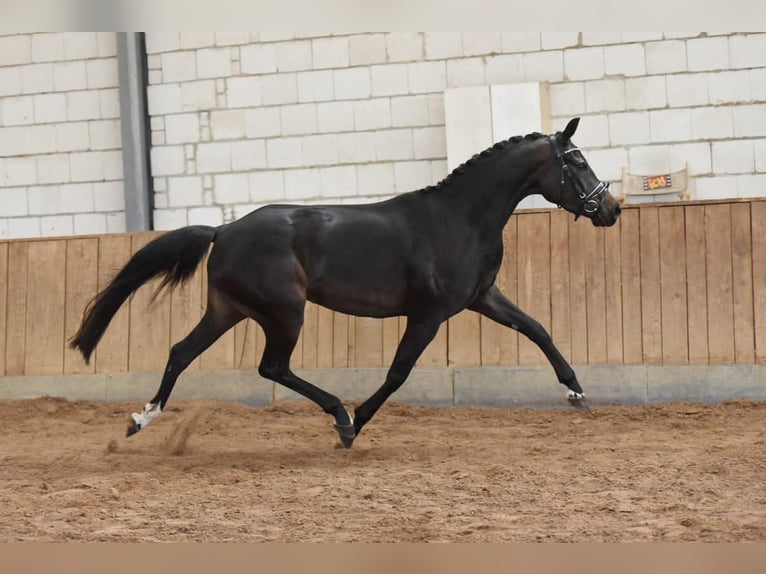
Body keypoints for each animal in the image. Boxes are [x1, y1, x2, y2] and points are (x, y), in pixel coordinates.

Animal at [70, 117, 621, 449]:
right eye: (575, 161)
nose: (611, 209)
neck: (456, 220)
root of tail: (223, 230)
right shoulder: (428, 314)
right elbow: (398, 373)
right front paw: (356, 424)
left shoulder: (481, 298)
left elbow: (538, 329)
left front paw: (577, 393)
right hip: (285, 312)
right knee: (271, 366)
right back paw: (337, 415)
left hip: (229, 310)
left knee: (181, 352)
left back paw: (140, 420)